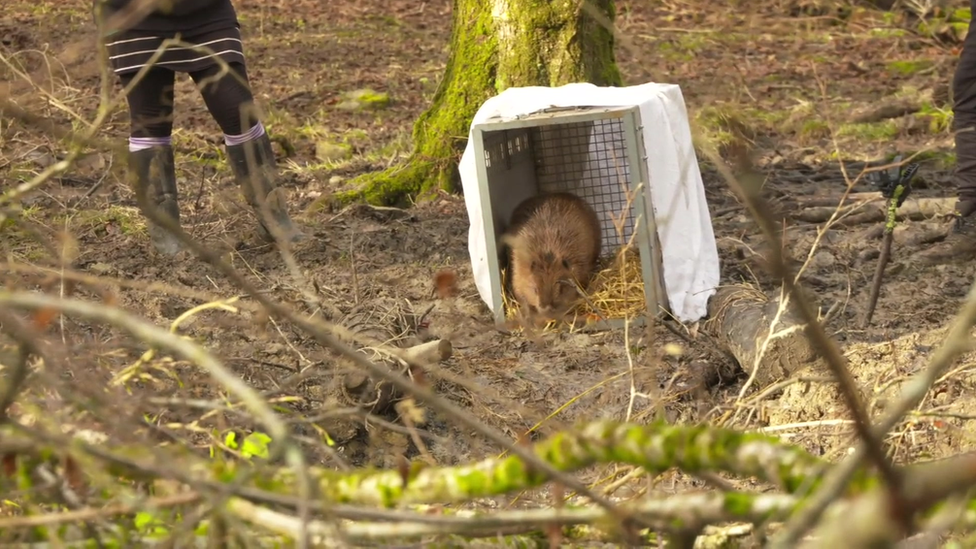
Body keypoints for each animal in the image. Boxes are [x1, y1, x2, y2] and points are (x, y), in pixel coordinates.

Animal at [504, 193, 604, 322]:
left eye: (561, 289)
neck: (547, 251)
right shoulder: (518, 269)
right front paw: (528, 313)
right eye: (535, 289)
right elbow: (519, 291)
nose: (546, 310)